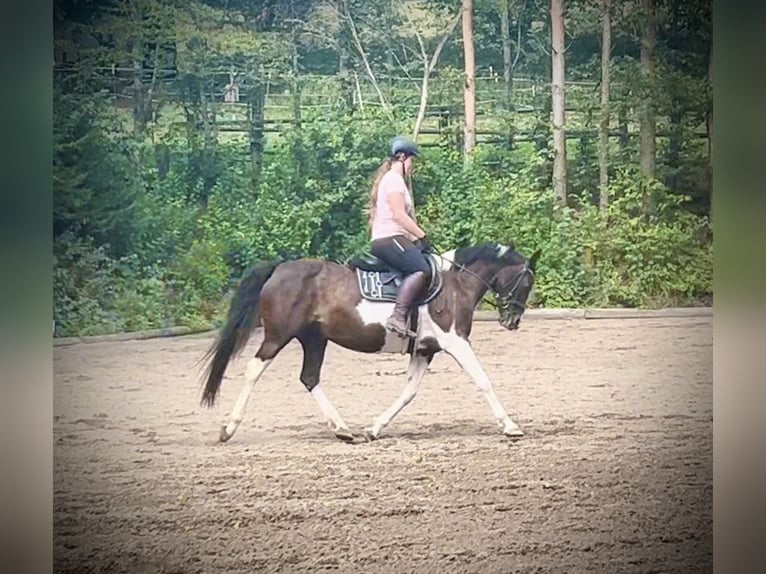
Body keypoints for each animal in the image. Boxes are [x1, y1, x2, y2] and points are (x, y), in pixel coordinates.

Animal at [201, 241, 544, 444]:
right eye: (526, 282)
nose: (512, 321)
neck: (455, 284)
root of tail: (279, 268)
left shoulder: (424, 350)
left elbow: (408, 393)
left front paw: (374, 428)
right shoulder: (455, 342)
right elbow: (483, 380)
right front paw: (510, 425)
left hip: (314, 339)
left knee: (309, 377)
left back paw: (342, 429)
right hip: (278, 335)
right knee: (254, 370)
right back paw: (228, 428)